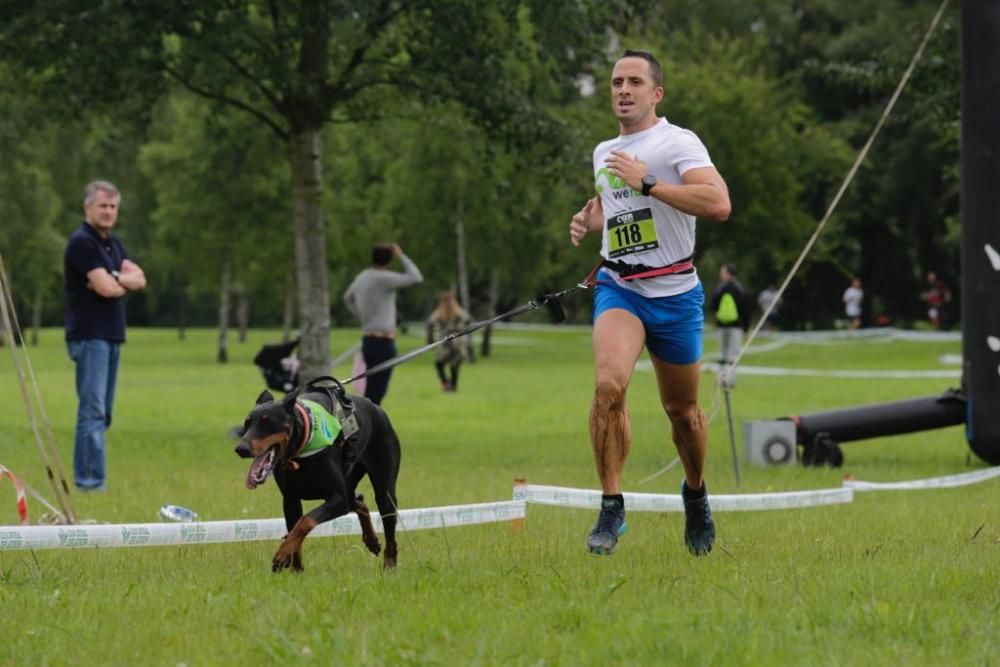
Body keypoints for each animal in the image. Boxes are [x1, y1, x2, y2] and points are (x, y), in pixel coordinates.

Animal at [234, 378, 402, 572]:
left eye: (268, 422)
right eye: (247, 424)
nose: (241, 449)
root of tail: (376, 407)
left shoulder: (337, 498)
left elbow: (305, 521)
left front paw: (281, 555)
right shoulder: (290, 499)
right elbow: (294, 530)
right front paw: (296, 570)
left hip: (384, 488)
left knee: (389, 531)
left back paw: (389, 566)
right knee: (358, 500)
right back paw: (372, 540)